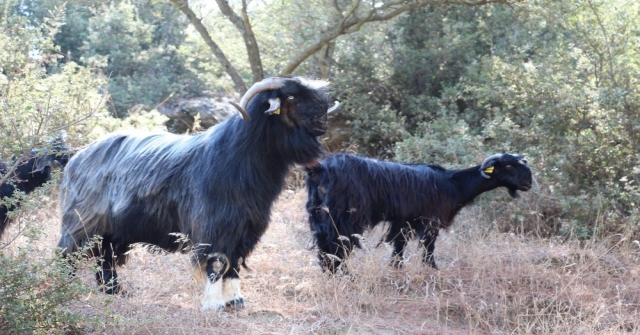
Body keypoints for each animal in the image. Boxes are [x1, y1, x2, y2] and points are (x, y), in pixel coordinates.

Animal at [56, 77, 340, 312]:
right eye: (291, 97)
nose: (322, 122)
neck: (236, 155)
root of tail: (76, 157)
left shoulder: (244, 226)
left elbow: (234, 263)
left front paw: (235, 301)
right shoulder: (213, 225)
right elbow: (216, 264)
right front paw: (213, 304)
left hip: (112, 229)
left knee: (105, 258)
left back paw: (114, 292)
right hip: (81, 222)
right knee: (68, 253)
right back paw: (62, 289)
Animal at [304, 154, 528, 274]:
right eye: (508, 165)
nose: (528, 183)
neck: (454, 184)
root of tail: (321, 168)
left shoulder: (405, 219)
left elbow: (399, 244)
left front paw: (396, 266)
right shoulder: (431, 219)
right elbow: (429, 245)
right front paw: (432, 268)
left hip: (320, 213)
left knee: (324, 242)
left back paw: (328, 270)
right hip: (342, 216)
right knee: (337, 243)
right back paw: (342, 273)